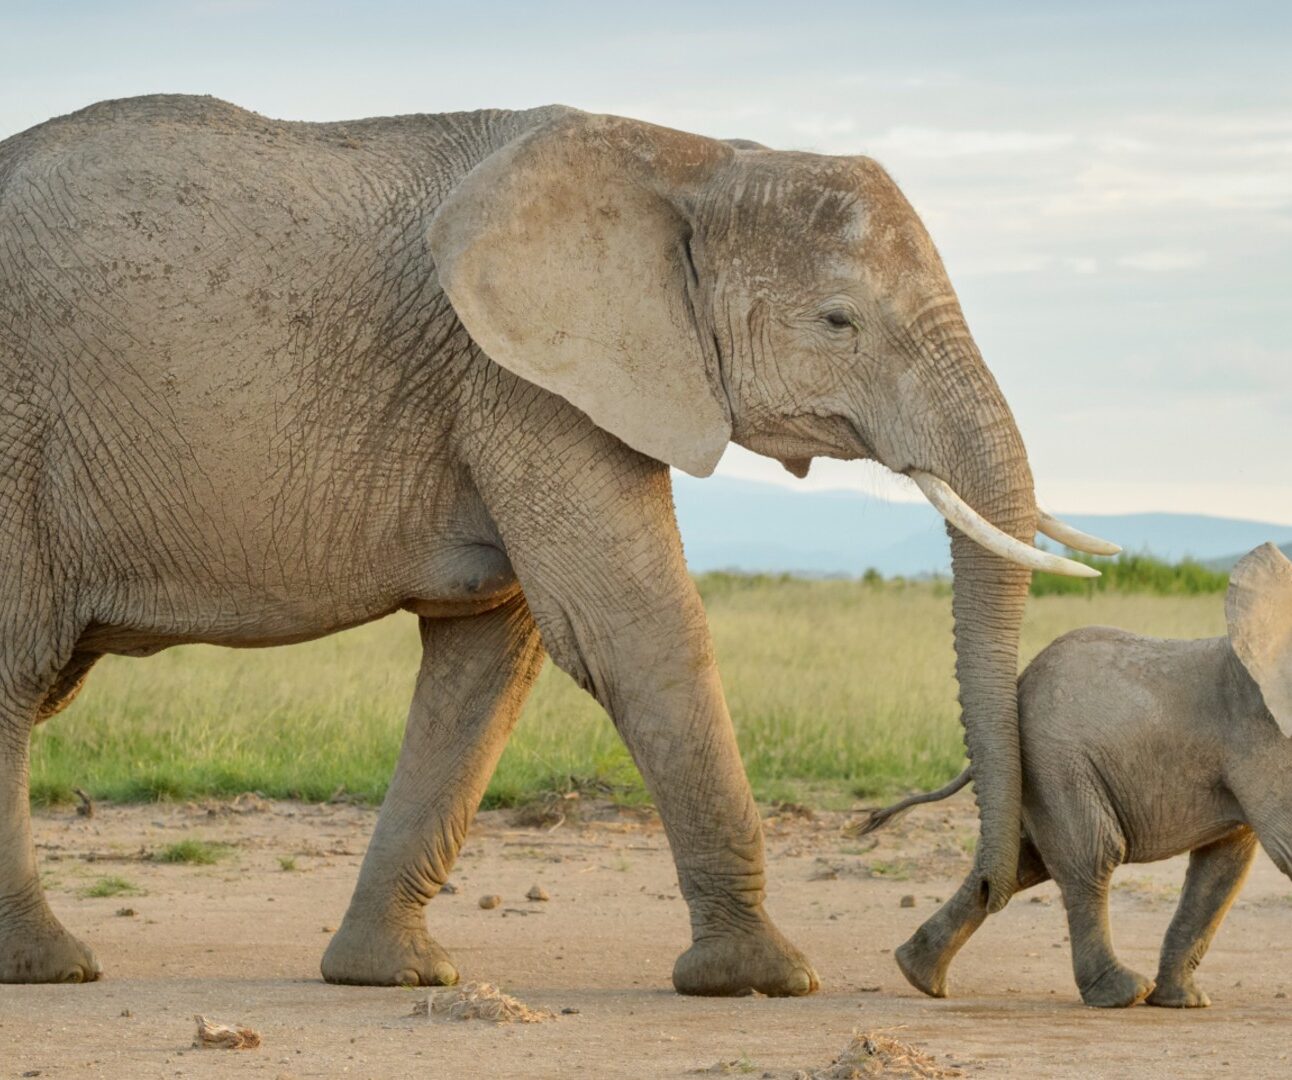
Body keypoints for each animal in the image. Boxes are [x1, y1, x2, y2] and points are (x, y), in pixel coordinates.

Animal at [0, 95, 1109, 988]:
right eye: (839, 322)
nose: (925, 963)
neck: (690, 157)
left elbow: (487, 663)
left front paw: (396, 977)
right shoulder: (527, 381)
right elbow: (632, 629)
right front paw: (764, 980)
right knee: (14, 675)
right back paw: (51, 968)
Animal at [858, 543, 1292, 1008]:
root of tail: (1020, 681)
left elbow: (1224, 866)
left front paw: (1184, 1002)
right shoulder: (1260, 733)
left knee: (1021, 865)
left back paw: (919, 974)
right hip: (1056, 762)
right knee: (1093, 853)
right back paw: (1121, 993)